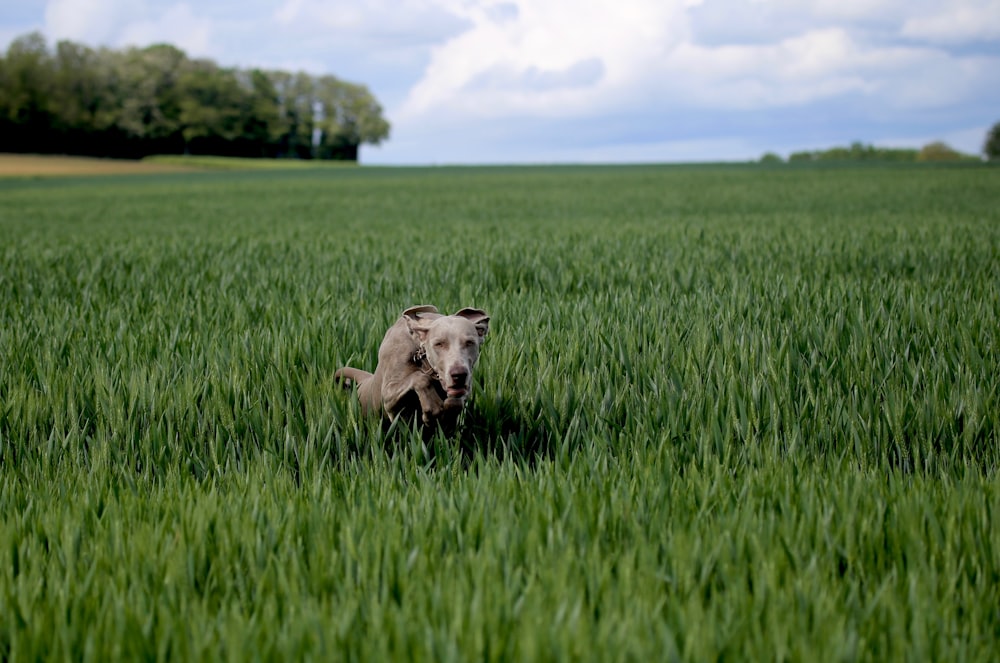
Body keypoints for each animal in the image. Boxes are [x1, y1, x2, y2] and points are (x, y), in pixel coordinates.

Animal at [336, 304, 492, 426]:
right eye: (439, 344)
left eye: (470, 342)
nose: (458, 375)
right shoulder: (389, 396)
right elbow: (420, 377)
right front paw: (432, 409)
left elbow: (456, 400)